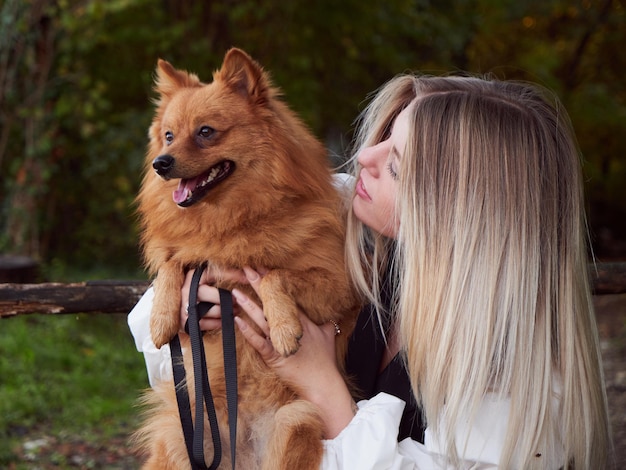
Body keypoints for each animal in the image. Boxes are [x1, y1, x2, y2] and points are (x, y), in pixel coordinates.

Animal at [135, 48, 360, 470]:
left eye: (206, 132)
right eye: (169, 135)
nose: (161, 162)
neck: (229, 223)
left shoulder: (335, 288)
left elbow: (273, 273)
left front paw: (284, 326)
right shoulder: (192, 260)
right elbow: (174, 263)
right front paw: (161, 318)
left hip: (296, 419)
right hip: (179, 432)